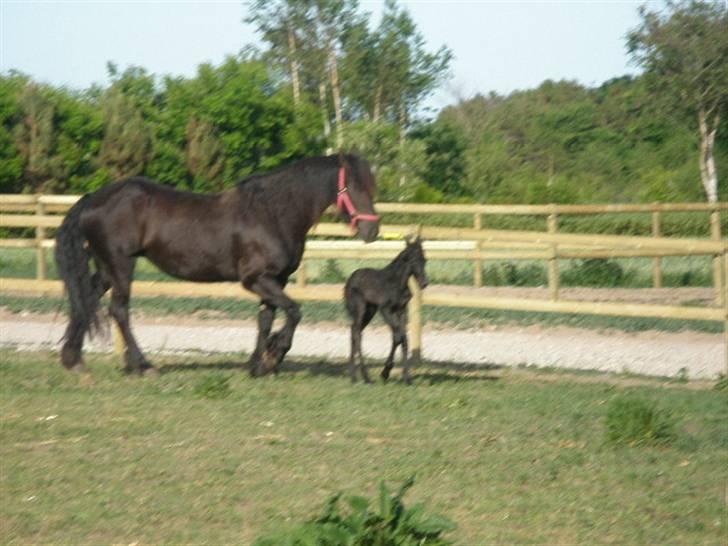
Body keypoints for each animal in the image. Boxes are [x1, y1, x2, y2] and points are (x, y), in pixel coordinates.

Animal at [346, 237, 430, 382]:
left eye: (424, 259)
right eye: (412, 259)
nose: (424, 283)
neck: (397, 283)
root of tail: (351, 278)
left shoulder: (401, 310)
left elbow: (403, 338)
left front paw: (407, 377)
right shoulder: (385, 309)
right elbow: (397, 336)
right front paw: (385, 372)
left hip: (370, 310)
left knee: (355, 331)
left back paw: (354, 375)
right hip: (361, 308)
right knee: (357, 332)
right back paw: (363, 377)